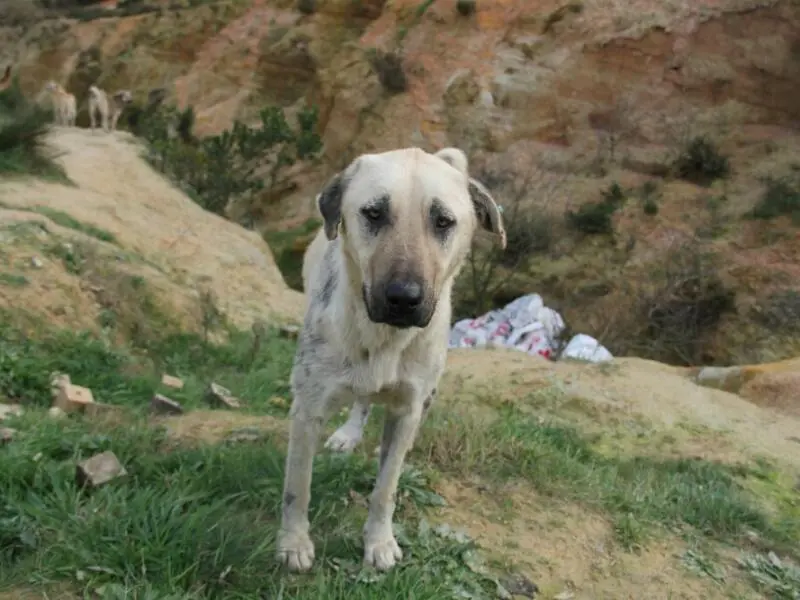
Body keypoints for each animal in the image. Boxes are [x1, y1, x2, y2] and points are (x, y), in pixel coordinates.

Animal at [278, 145, 506, 572]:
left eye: (443, 221)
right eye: (373, 213)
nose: (403, 298)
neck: (386, 338)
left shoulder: (406, 412)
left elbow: (386, 487)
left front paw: (379, 542)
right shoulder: (307, 409)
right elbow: (297, 486)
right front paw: (293, 543)